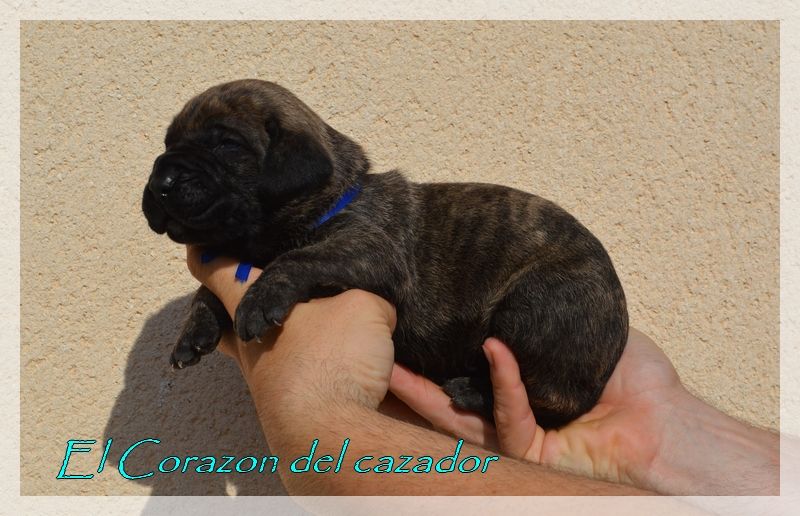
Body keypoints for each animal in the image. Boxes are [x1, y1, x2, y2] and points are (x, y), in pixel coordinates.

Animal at [142, 79, 628, 428]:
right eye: (166, 144)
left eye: (226, 145)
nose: (160, 180)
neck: (330, 198)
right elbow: (204, 294)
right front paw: (194, 330)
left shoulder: (370, 249)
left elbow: (298, 260)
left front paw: (258, 301)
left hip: (536, 303)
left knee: (549, 401)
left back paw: (473, 390)